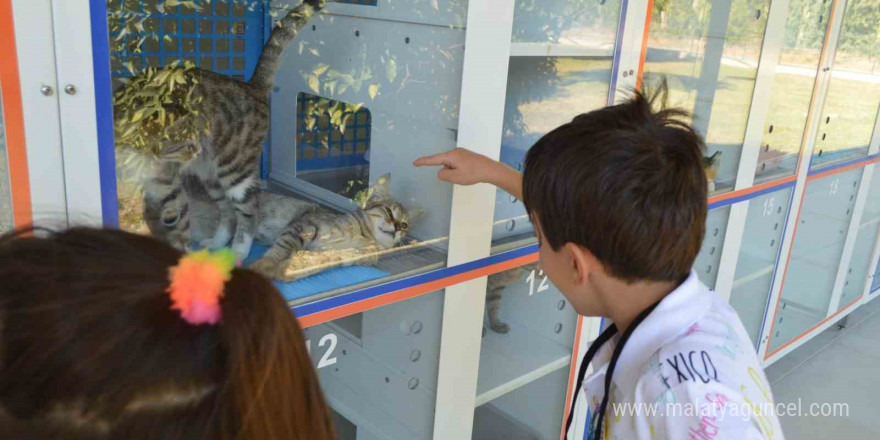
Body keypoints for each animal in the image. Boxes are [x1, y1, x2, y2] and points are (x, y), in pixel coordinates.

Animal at [136, 0, 328, 258]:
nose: (192, 147)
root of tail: (250, 86)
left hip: (235, 169)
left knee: (248, 212)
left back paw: (238, 252)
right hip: (211, 175)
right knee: (227, 212)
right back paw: (217, 243)